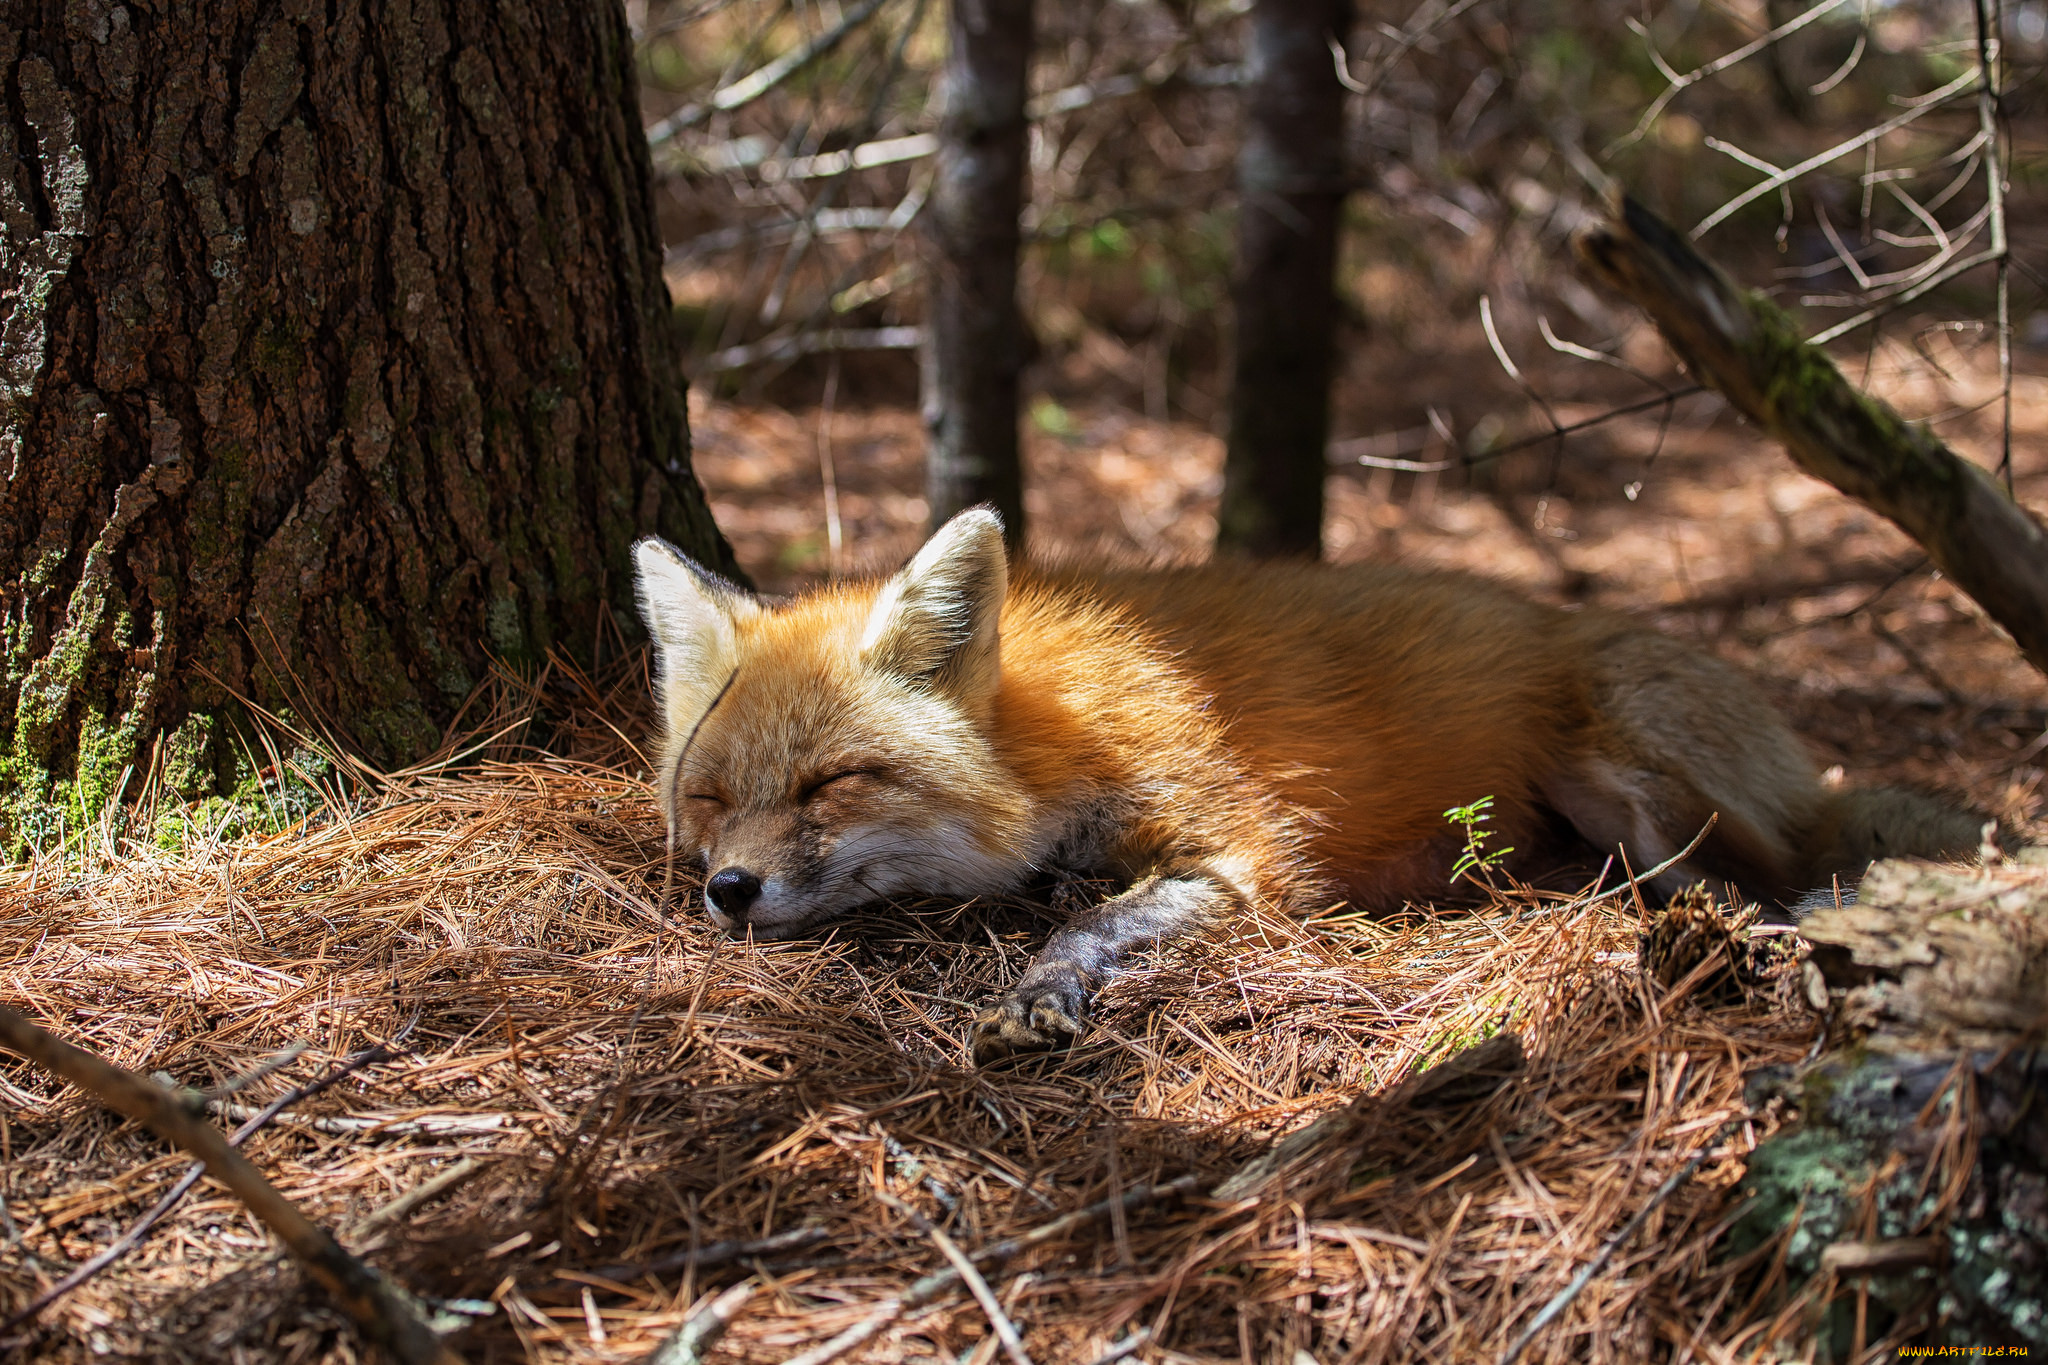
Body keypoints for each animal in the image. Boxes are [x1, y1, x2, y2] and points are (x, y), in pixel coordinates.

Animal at [634, 507, 1982, 1064]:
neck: (1053, 740)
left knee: (1759, 886)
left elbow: (1090, 921)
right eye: (709, 799)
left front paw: (1042, 990)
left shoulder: (1246, 855)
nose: (729, 891)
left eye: (829, 783)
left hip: (1626, 777)